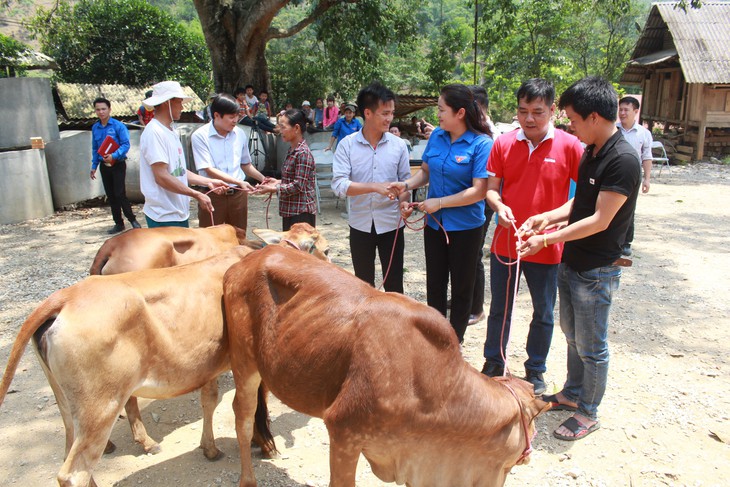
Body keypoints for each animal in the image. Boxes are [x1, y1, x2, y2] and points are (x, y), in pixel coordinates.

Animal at [0, 225, 328, 487]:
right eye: (325, 249)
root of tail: (65, 297)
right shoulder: (250, 363)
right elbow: (256, 406)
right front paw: (267, 445)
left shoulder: (208, 365)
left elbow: (209, 400)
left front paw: (210, 448)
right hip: (101, 407)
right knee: (74, 472)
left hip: (68, 405)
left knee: (70, 448)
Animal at [225, 248, 548, 487]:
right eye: (530, 427)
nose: (529, 457)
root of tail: (243, 261)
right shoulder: (344, 431)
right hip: (244, 362)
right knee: (242, 413)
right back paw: (247, 478)